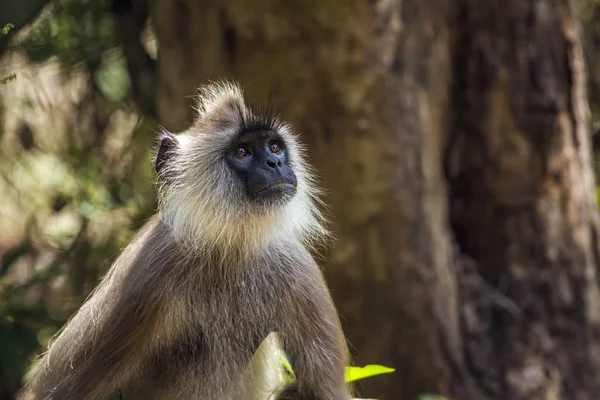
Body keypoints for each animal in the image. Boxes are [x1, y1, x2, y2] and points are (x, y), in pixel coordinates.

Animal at [19, 81, 352, 400]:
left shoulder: (296, 267)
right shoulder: (149, 270)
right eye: (242, 152)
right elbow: (55, 389)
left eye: (274, 147)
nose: (275, 163)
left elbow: (324, 392)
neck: (229, 247)